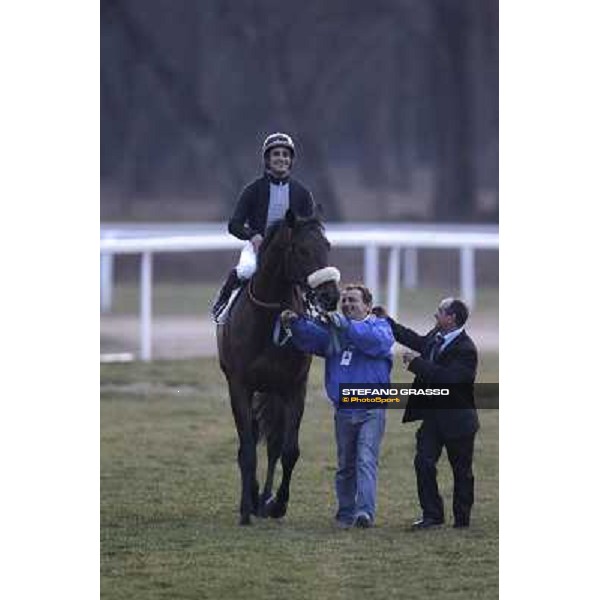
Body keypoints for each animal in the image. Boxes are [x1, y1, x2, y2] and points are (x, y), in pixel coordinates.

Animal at [217, 211, 340, 524]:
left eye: (327, 245)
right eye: (302, 249)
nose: (331, 296)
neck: (268, 318)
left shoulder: (294, 387)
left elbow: (289, 450)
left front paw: (278, 504)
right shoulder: (239, 386)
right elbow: (247, 449)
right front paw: (245, 509)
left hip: (274, 391)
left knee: (273, 444)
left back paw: (263, 499)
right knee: (250, 440)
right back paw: (252, 498)